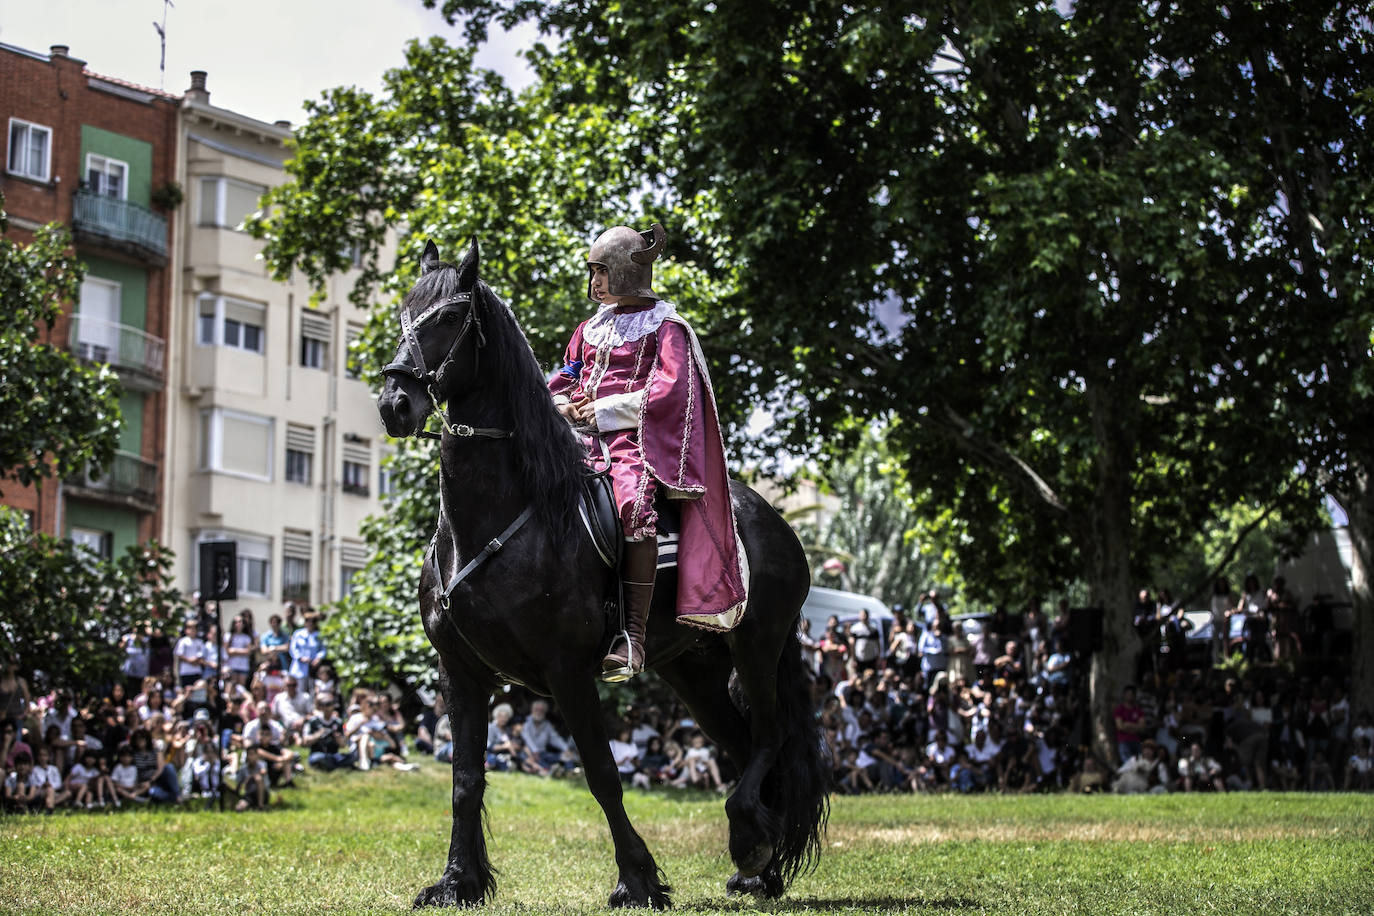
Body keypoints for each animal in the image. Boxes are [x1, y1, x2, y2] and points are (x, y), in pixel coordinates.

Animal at [376, 240, 824, 906]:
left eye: (450, 318)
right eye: (404, 312)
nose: (394, 404)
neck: (508, 515)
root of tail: (771, 522)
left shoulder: (566, 671)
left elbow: (601, 774)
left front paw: (637, 880)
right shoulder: (462, 671)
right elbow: (465, 780)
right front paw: (458, 881)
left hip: (756, 645)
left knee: (770, 738)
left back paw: (750, 842)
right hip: (693, 670)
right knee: (747, 746)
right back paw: (758, 866)